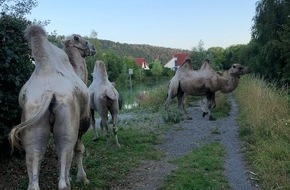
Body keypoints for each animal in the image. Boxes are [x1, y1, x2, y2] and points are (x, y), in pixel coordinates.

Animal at [9, 24, 90, 189]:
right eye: (84, 42)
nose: (93, 49)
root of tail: (48, 92)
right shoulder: (83, 121)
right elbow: (79, 149)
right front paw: (82, 178)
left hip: (32, 111)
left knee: (34, 155)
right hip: (68, 119)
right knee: (65, 150)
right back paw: (67, 183)